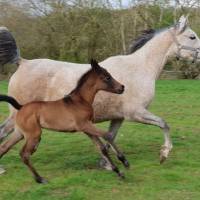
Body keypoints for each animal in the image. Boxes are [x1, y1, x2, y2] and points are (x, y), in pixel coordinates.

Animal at [0, 59, 129, 183]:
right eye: (107, 77)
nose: (122, 87)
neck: (80, 101)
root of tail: (21, 107)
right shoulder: (84, 125)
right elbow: (108, 135)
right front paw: (124, 161)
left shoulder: (87, 128)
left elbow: (101, 148)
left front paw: (118, 172)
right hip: (34, 135)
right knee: (24, 154)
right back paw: (40, 179)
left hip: (20, 133)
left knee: (4, 147)